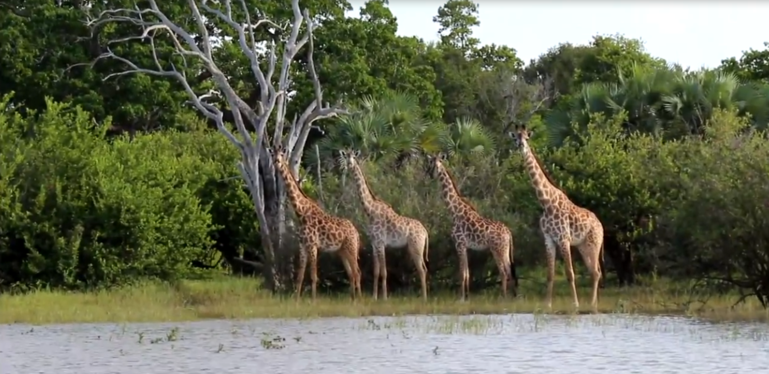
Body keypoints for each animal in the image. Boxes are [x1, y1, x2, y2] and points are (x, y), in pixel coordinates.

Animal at [268, 144, 364, 300]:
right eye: (272, 154)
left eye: (282, 155)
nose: (277, 162)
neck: (301, 212)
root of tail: (356, 232)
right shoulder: (302, 245)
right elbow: (300, 276)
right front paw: (296, 300)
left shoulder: (313, 245)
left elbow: (313, 276)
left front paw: (313, 300)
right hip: (342, 251)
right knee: (351, 274)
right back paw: (353, 299)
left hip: (352, 247)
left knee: (357, 272)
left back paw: (359, 299)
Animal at [340, 149, 428, 300]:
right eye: (346, 157)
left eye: (354, 157)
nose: (350, 165)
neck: (370, 211)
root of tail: (425, 232)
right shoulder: (374, 244)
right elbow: (376, 271)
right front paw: (375, 297)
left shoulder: (381, 243)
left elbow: (384, 271)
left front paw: (385, 297)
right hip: (417, 248)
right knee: (425, 269)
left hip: (415, 246)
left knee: (421, 270)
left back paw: (424, 298)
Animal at [424, 153, 520, 300]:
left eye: (431, 163)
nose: (427, 174)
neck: (454, 212)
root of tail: (508, 233)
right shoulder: (465, 246)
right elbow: (467, 273)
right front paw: (467, 297)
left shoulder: (459, 244)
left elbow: (462, 273)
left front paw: (460, 298)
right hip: (504, 249)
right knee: (509, 270)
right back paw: (512, 296)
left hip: (497, 249)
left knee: (504, 271)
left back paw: (503, 297)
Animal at [510, 124, 608, 308]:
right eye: (516, 138)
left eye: (527, 137)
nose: (521, 146)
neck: (546, 202)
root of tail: (601, 225)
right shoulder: (548, 239)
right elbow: (550, 274)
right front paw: (547, 304)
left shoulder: (564, 238)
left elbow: (570, 273)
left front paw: (575, 304)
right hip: (583, 246)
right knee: (595, 271)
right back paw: (594, 303)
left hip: (594, 243)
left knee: (596, 272)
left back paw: (591, 304)